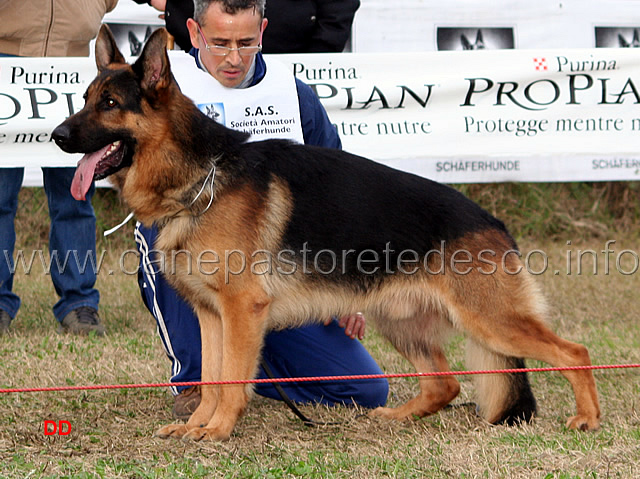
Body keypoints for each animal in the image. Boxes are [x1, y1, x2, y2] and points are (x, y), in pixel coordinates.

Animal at [52, 24, 604, 440]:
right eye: (83, 98)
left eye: (109, 104)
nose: (56, 135)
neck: (201, 174)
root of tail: (494, 223)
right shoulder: (211, 315)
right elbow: (210, 377)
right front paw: (197, 424)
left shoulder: (240, 311)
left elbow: (231, 379)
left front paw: (219, 430)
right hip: (400, 321)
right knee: (444, 385)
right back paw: (396, 416)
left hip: (489, 320)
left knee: (574, 352)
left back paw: (587, 418)